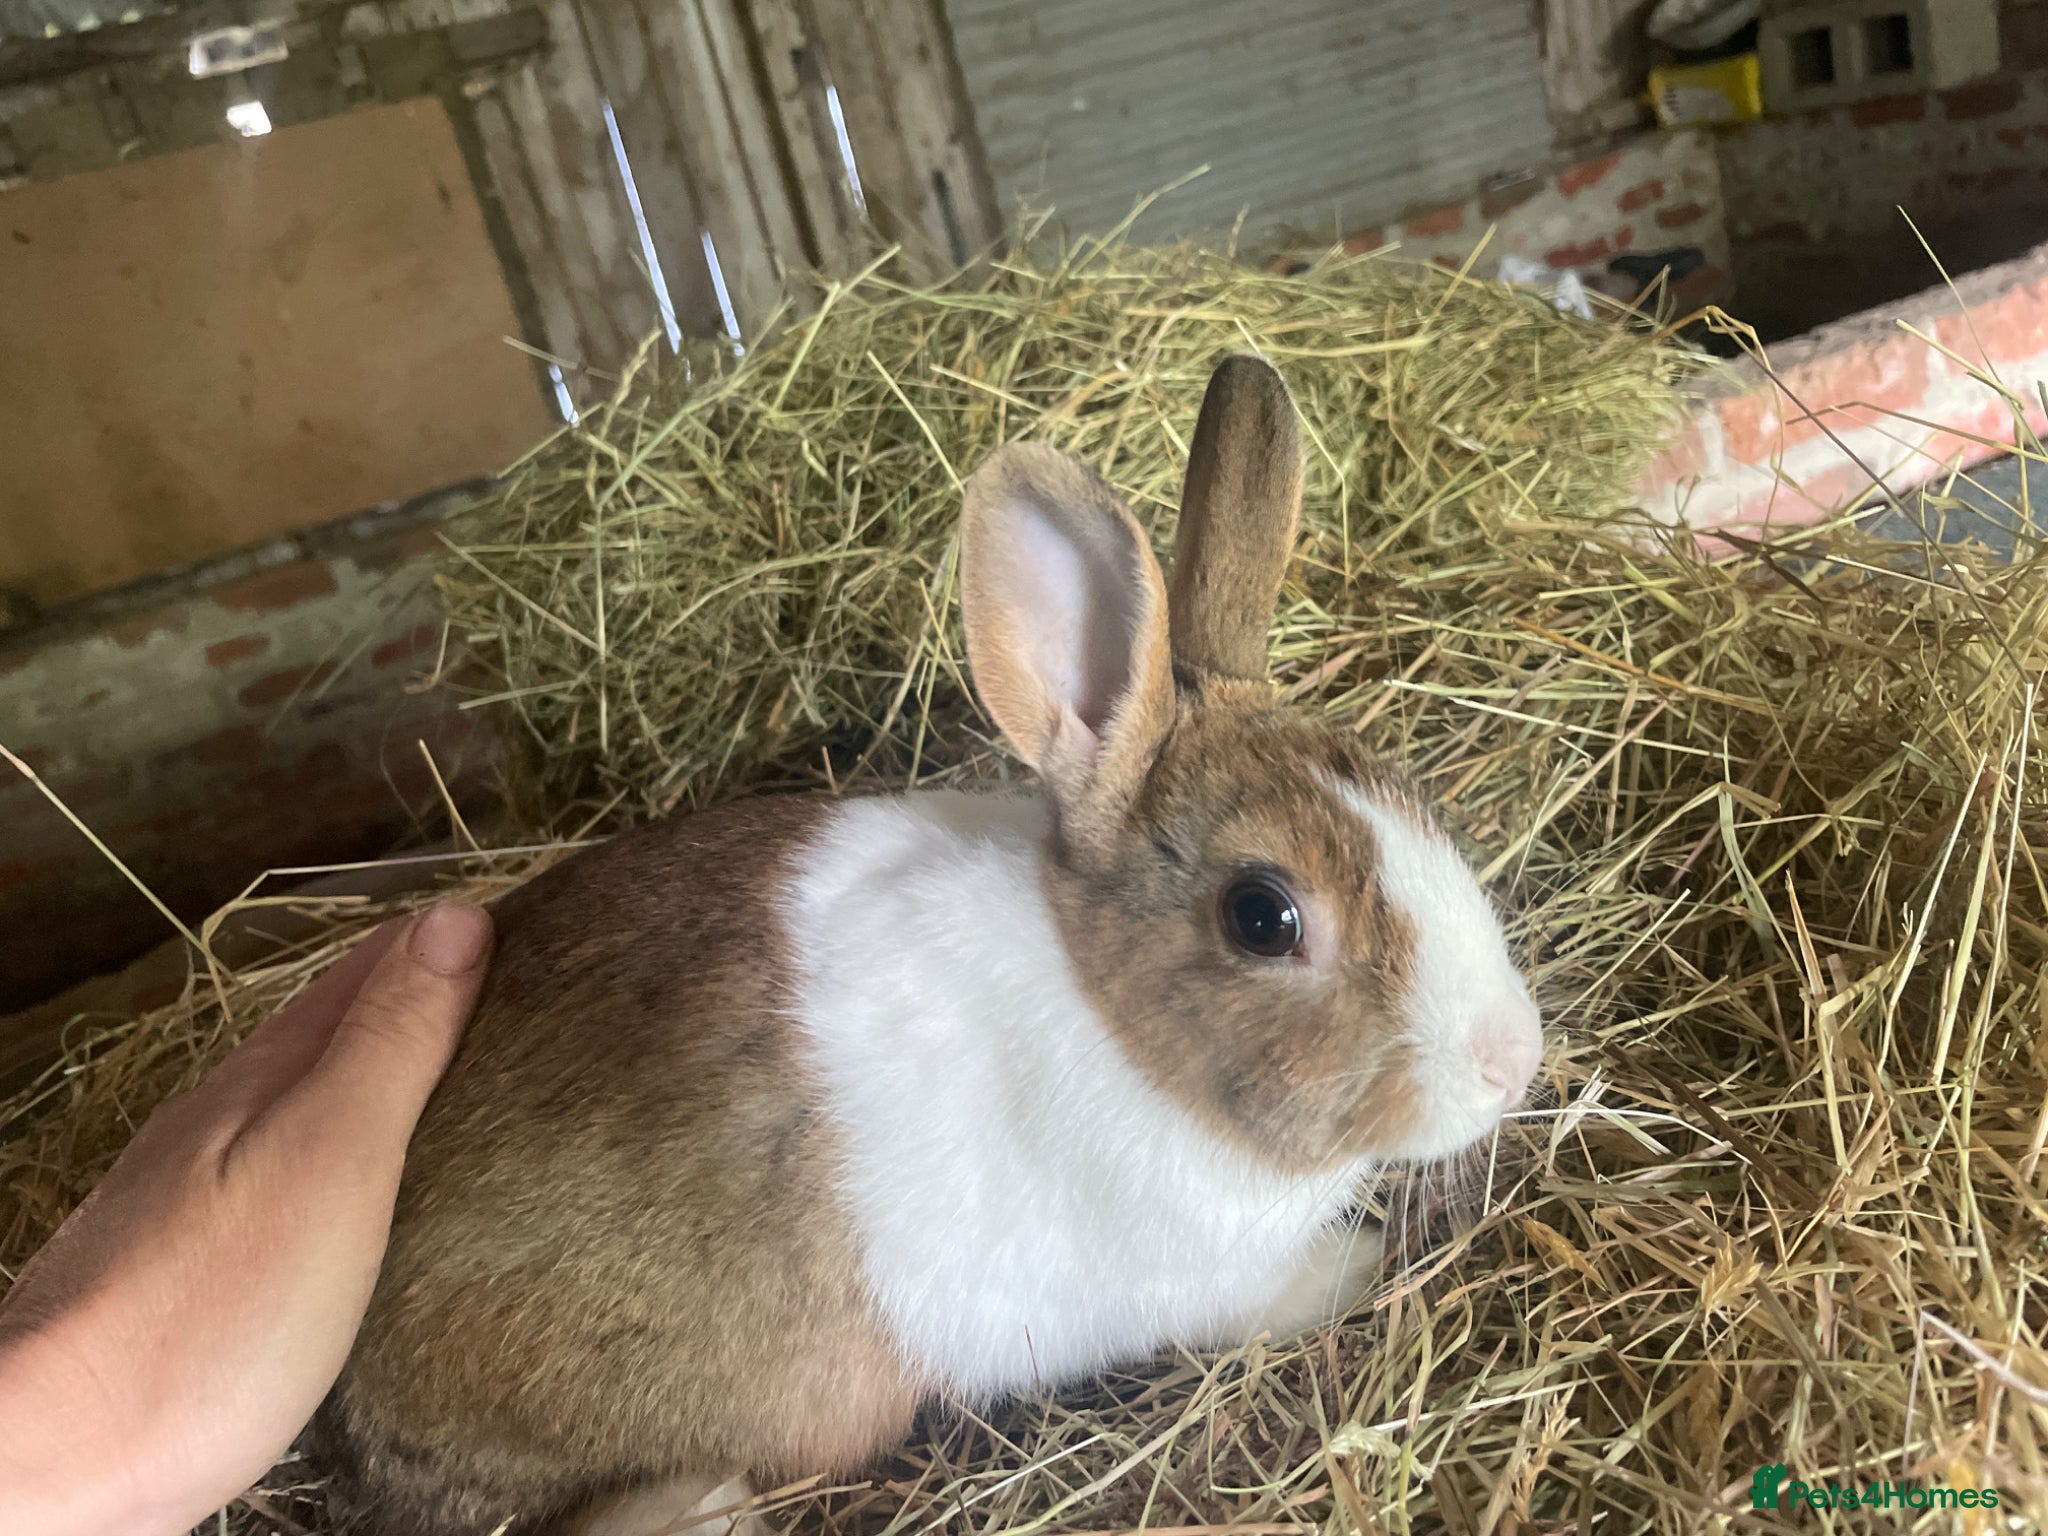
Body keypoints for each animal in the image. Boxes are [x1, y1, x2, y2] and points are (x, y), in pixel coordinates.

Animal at [308, 354, 1544, 1536]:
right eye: (1263, 916)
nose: (1512, 1059)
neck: (1116, 1018)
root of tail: (359, 1415)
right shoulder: (1189, 1283)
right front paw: (1359, 1266)